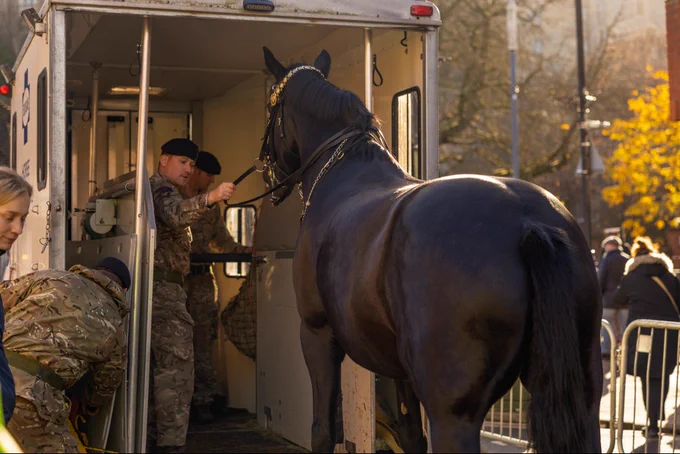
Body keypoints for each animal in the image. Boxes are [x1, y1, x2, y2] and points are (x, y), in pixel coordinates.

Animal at [258, 46, 603, 453]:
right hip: (583, 395)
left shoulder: (317, 333)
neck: (343, 177)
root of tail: (528, 221)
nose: (268, 173)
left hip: (453, 411)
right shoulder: (397, 366)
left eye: (270, 105)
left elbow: (323, 429)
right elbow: (410, 434)